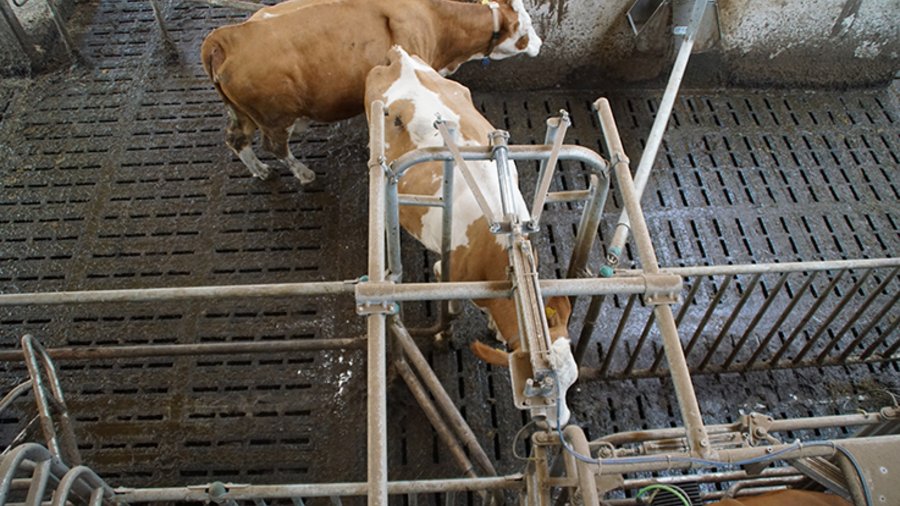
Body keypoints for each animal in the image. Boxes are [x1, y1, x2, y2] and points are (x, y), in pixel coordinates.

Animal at [202, 0, 540, 184]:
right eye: (525, 30)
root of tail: (227, 37)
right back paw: (303, 174)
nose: (538, 44)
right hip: (274, 117)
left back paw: (260, 170)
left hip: (243, 113)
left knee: (236, 139)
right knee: (275, 146)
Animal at [364, 46, 576, 426]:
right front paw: (443, 335)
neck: (500, 248)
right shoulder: (448, 273)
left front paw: (492, 326)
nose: (562, 424)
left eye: (573, 382)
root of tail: (400, 56)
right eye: (534, 399)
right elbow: (451, 309)